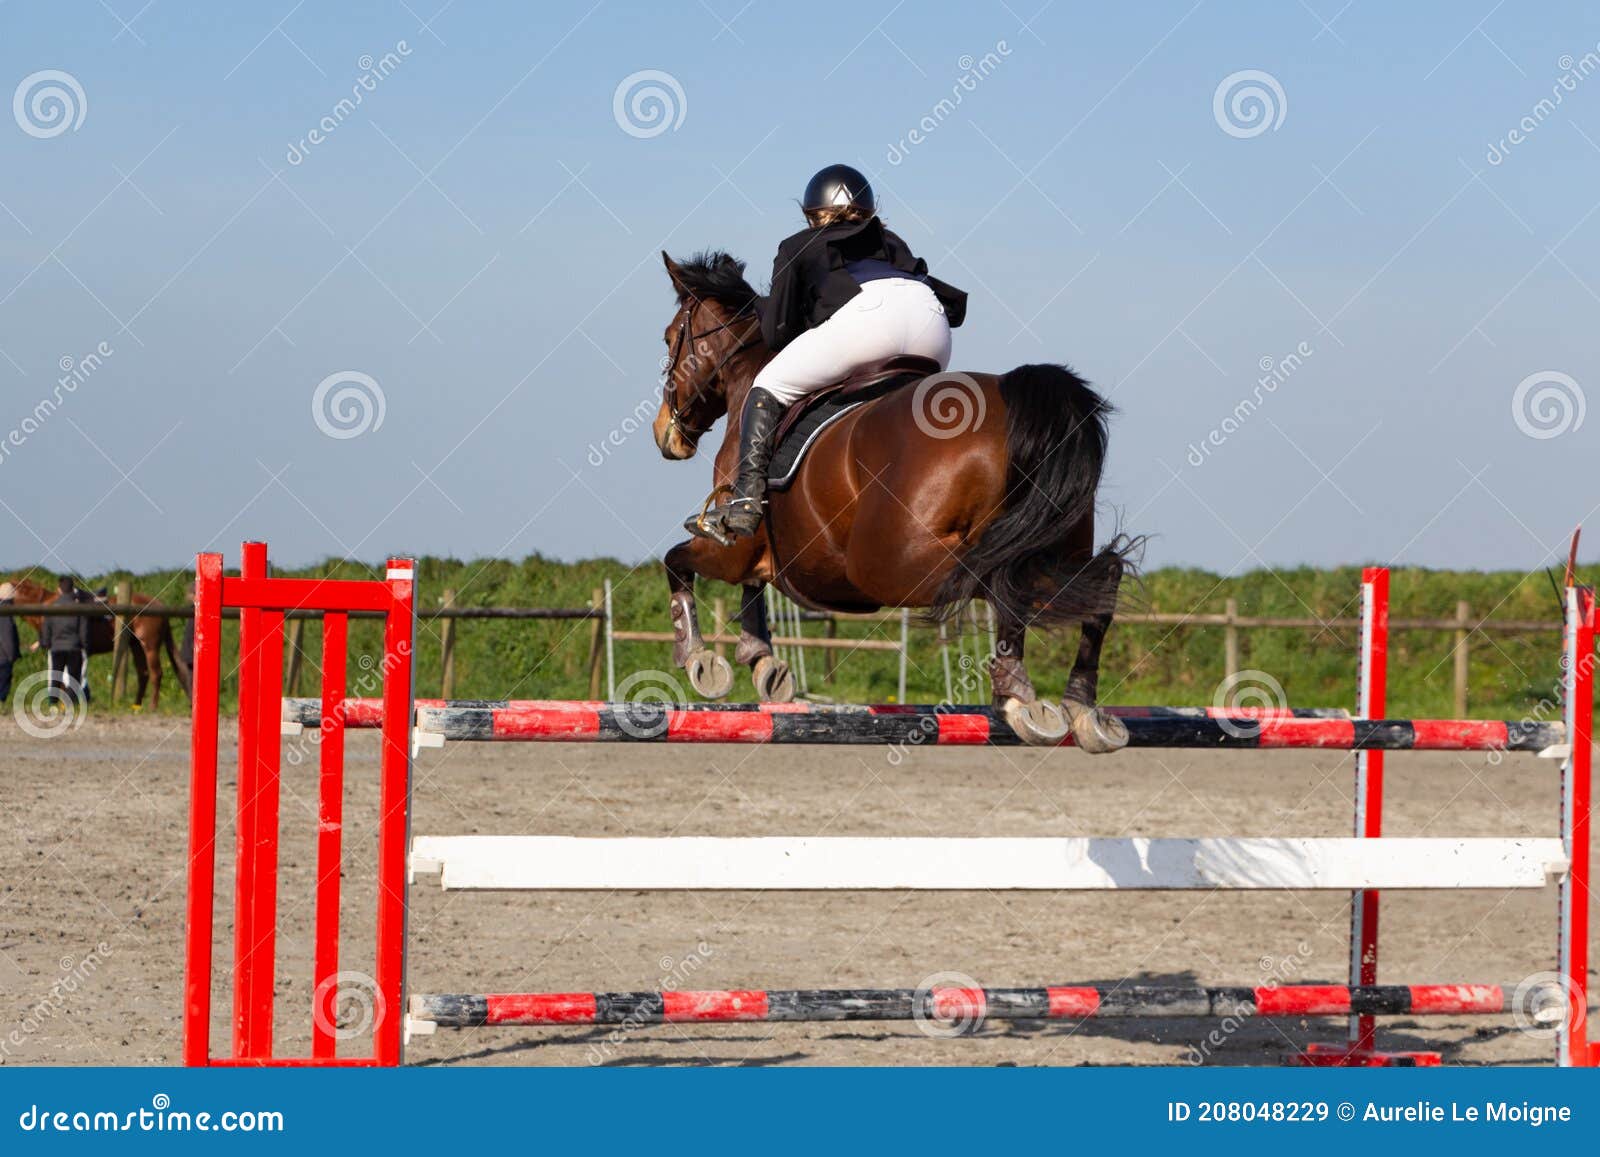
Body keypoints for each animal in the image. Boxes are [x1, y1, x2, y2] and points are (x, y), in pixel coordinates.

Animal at [649, 251, 1139, 752]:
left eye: (670, 338)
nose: (664, 432)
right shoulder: (760, 558)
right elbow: (751, 588)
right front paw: (764, 662)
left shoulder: (734, 549)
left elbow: (678, 560)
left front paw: (701, 661)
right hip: (1051, 541)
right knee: (1095, 580)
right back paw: (1078, 706)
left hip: (890, 567)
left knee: (1003, 580)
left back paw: (1020, 693)